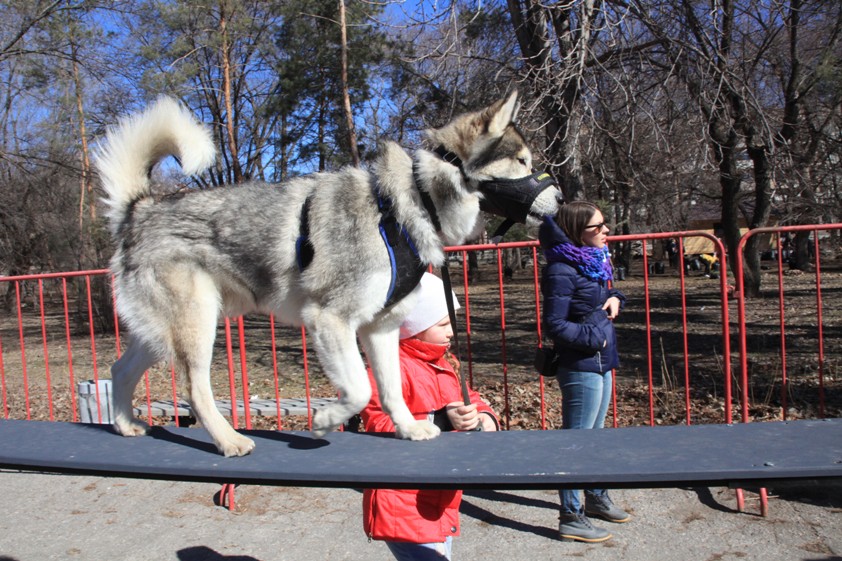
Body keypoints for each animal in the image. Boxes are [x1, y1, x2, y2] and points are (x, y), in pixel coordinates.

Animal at [97, 89, 556, 452]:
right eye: (522, 160)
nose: (560, 197)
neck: (412, 202)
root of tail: (140, 208)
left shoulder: (381, 328)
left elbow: (390, 390)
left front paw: (409, 428)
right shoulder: (329, 320)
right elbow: (360, 390)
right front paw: (324, 421)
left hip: (161, 335)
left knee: (119, 370)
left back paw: (125, 425)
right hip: (198, 326)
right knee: (195, 390)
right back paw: (230, 440)